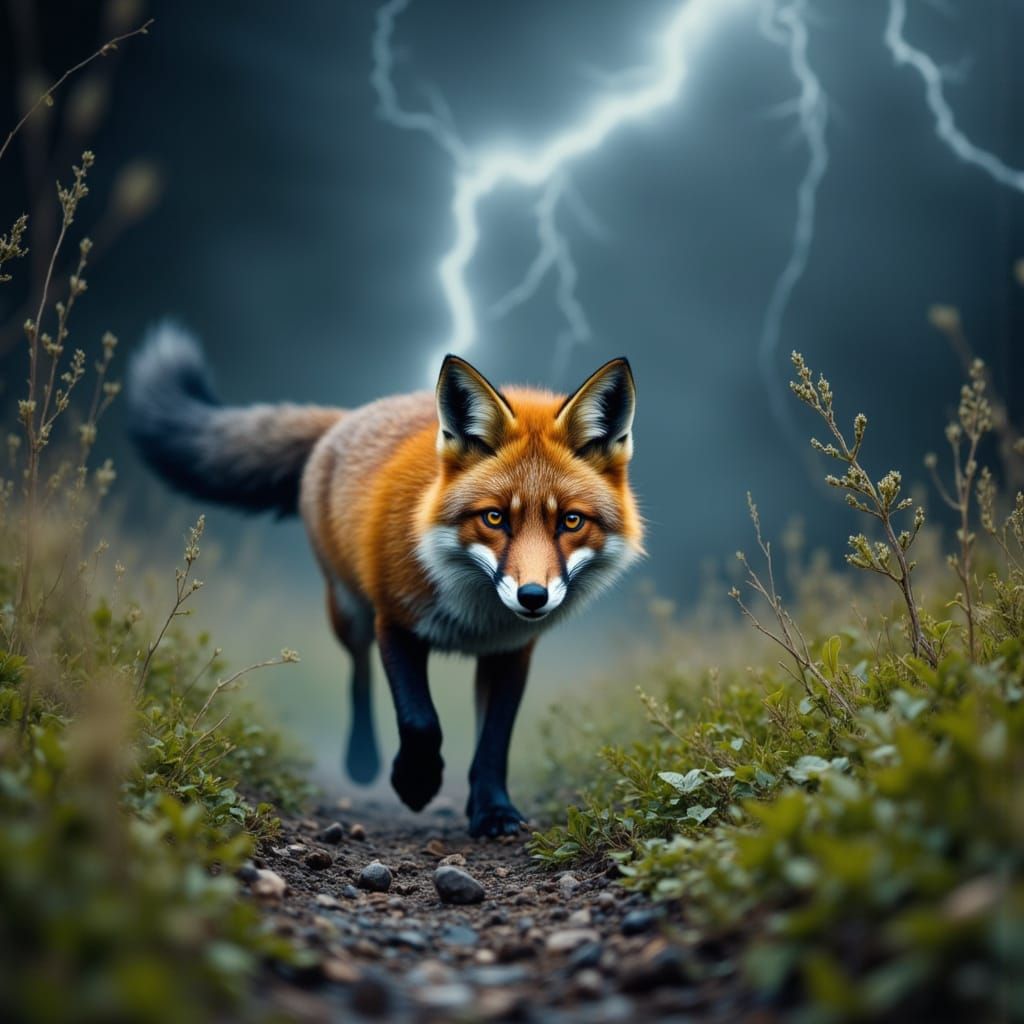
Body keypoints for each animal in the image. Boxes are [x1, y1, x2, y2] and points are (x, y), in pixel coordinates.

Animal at [127, 325, 643, 836]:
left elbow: (494, 742)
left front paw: (492, 811)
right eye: (495, 518)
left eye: (571, 521)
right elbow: (420, 721)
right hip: (348, 611)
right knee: (358, 672)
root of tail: (348, 417)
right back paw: (363, 761)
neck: (476, 614)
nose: (532, 597)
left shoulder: (511, 650)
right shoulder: (396, 620)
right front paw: (415, 782)